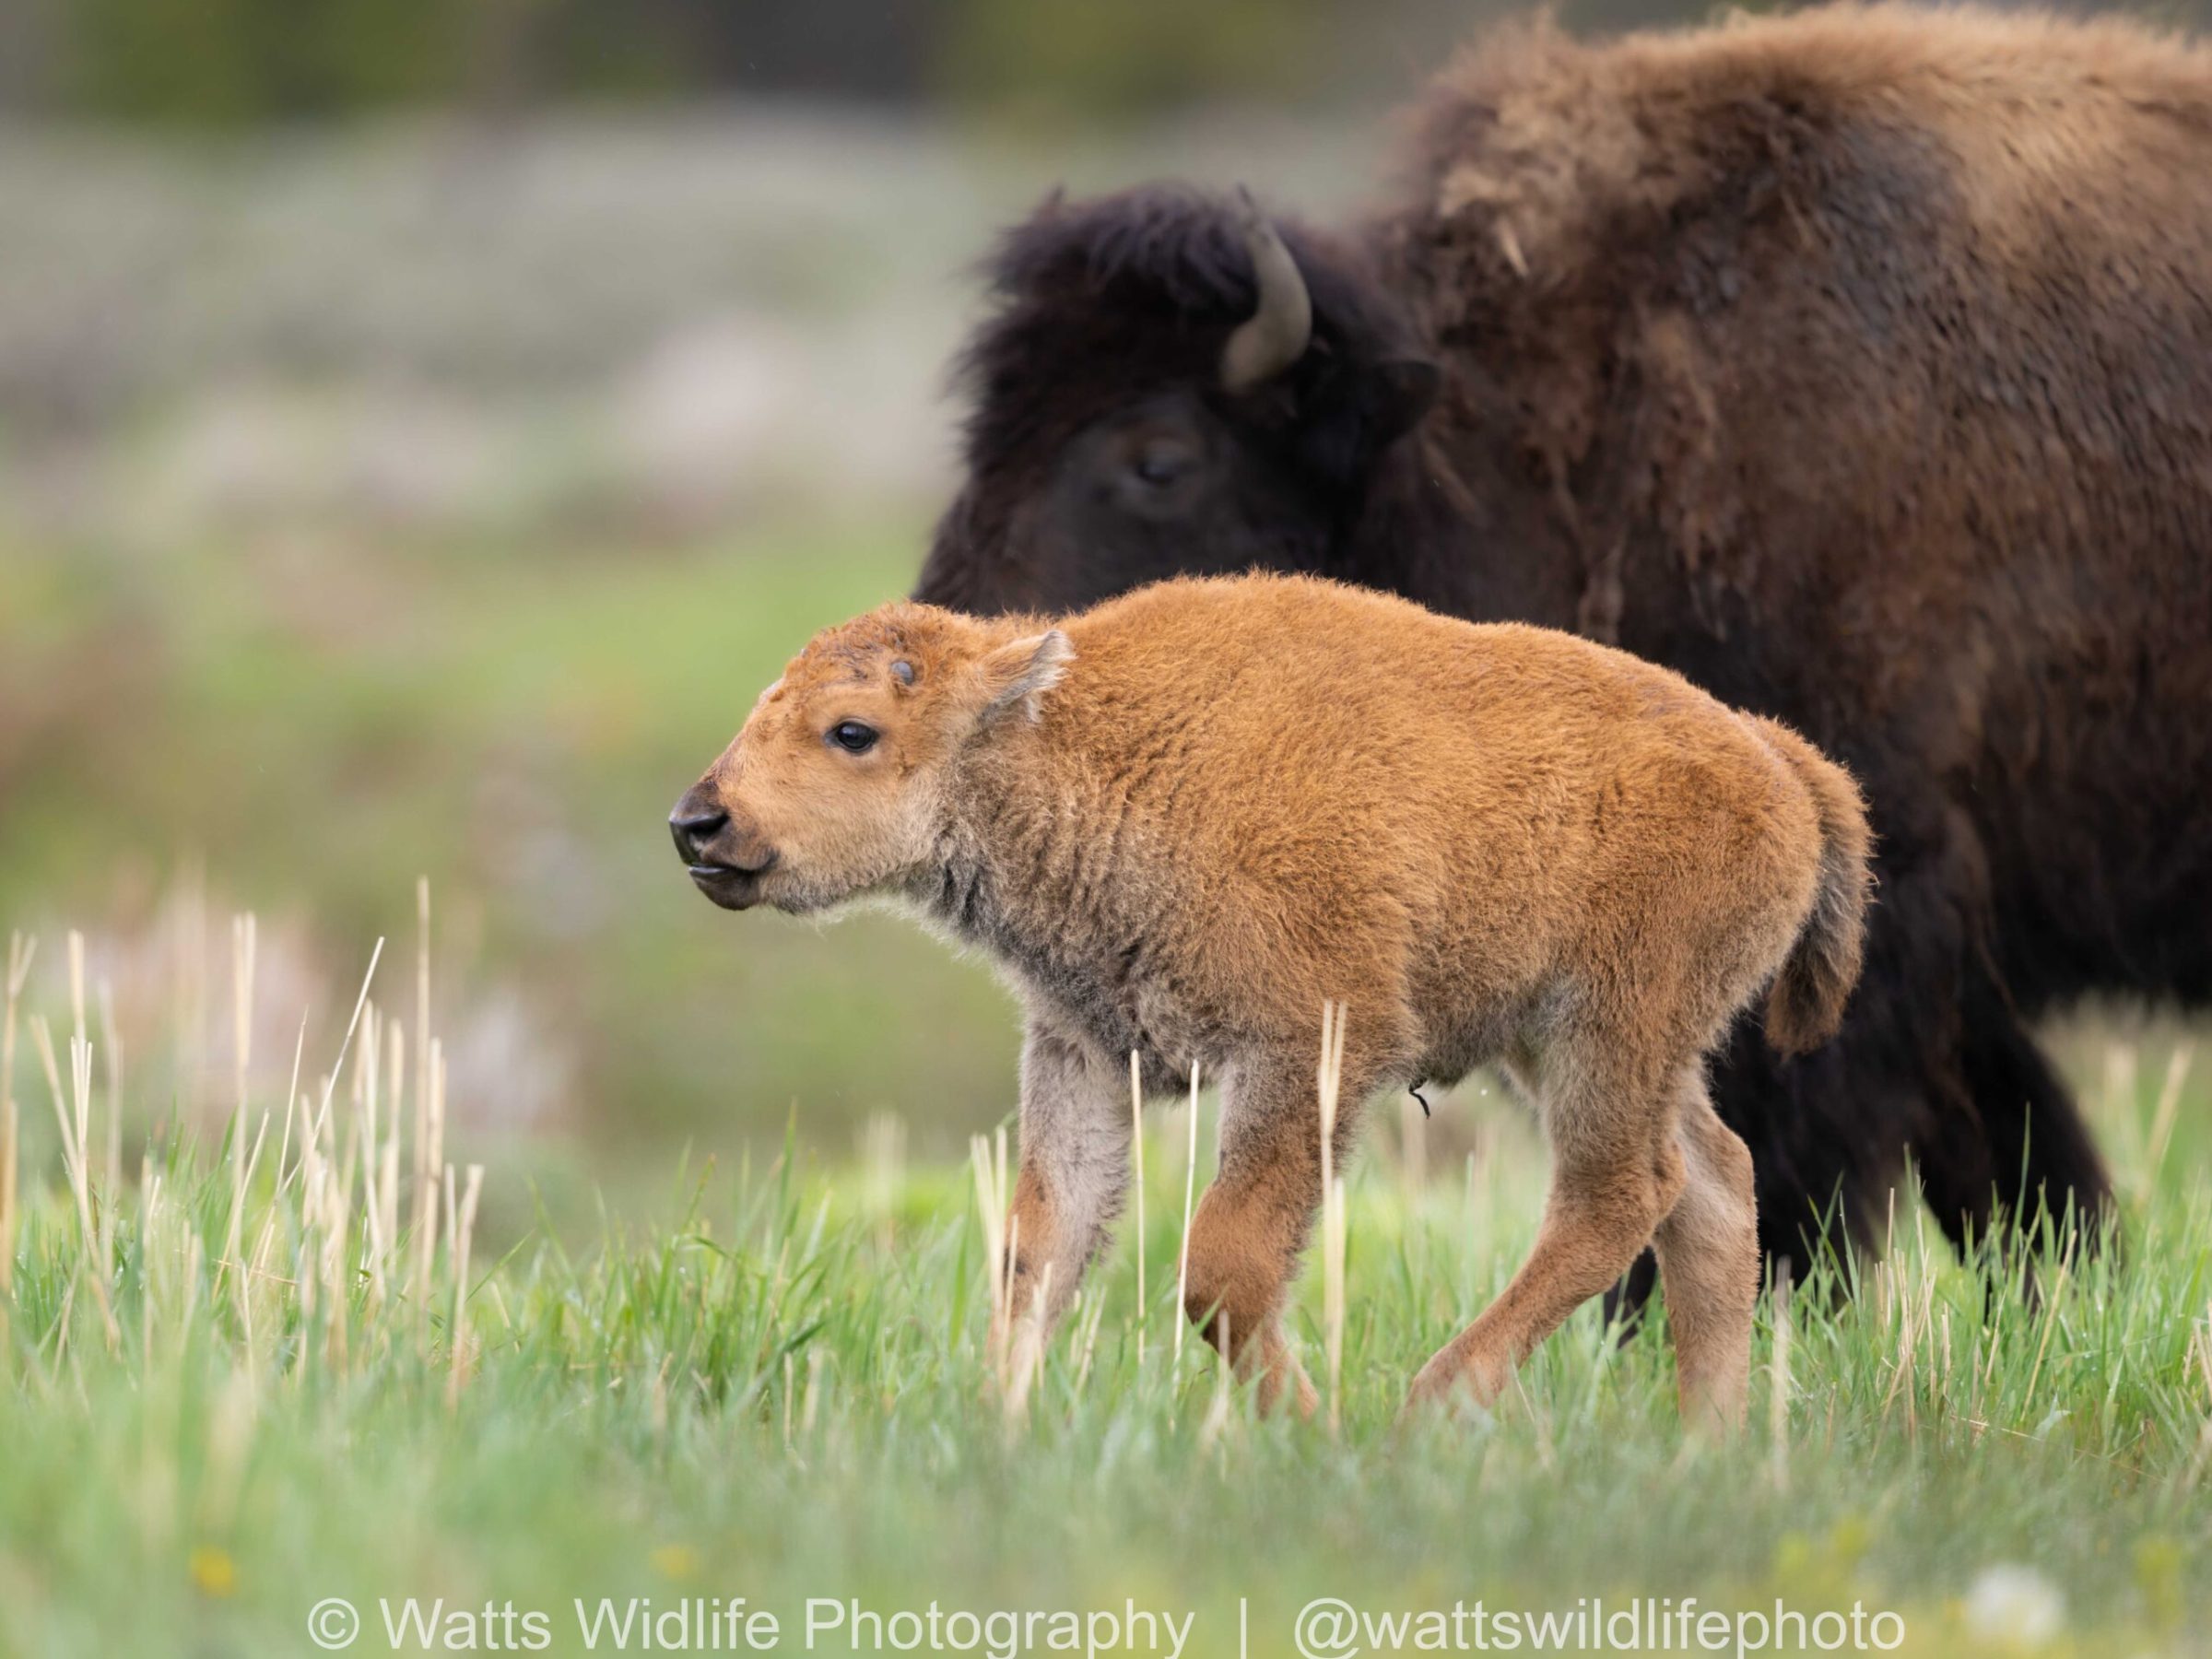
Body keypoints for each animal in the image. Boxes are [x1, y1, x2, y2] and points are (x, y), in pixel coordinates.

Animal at [669, 573, 1871, 1427]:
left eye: (852, 730)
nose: (699, 823)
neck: (1079, 741)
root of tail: (1778, 761)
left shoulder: (1307, 1056)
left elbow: (1224, 1268)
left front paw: (1311, 1430)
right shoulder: (1084, 1054)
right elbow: (1040, 1251)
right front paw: (997, 1429)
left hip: (1607, 1030)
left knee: (1623, 1195)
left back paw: (1431, 1407)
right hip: (1574, 1044)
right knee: (1710, 1185)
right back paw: (1707, 1444)